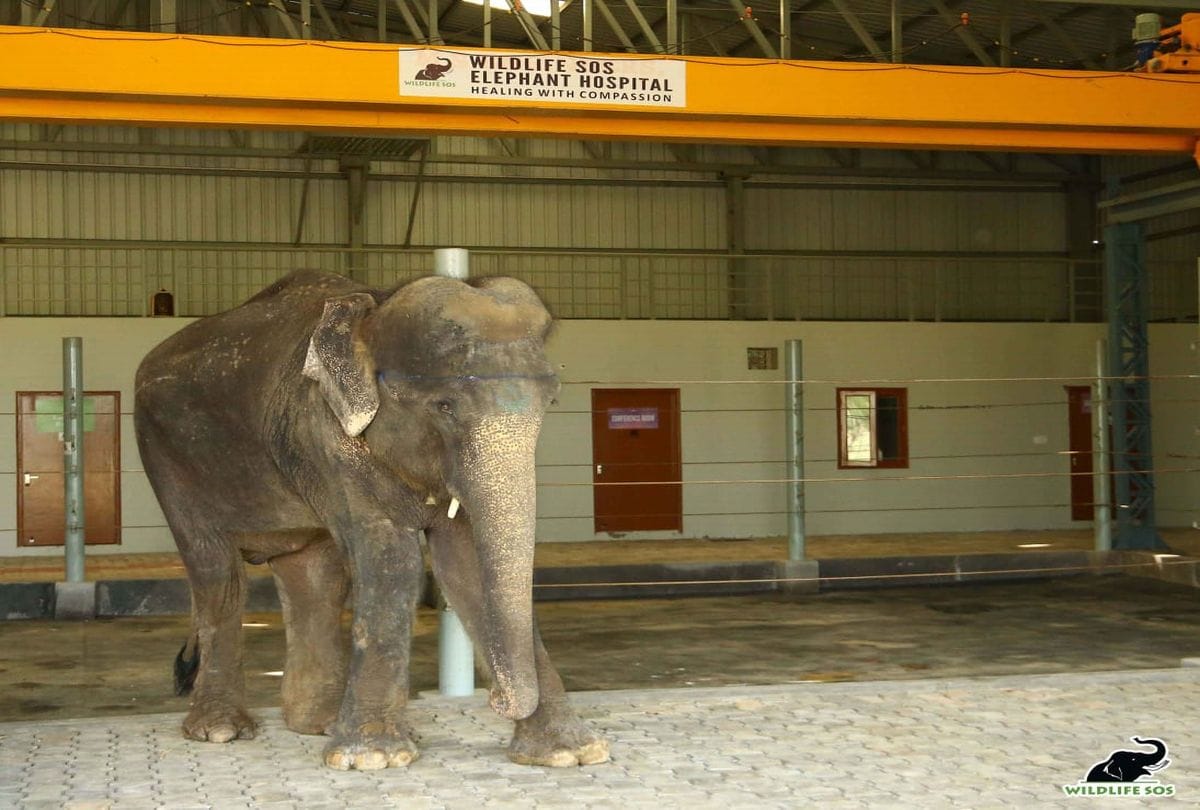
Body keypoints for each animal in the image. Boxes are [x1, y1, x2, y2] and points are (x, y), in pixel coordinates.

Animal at [134, 270, 609, 771]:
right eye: (444, 406)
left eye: (551, 402)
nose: (497, 699)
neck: (375, 309)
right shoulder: (324, 433)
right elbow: (390, 560)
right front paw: (373, 758)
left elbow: (463, 563)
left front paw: (570, 753)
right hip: (168, 459)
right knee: (216, 573)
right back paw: (220, 730)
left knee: (313, 575)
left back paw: (318, 722)